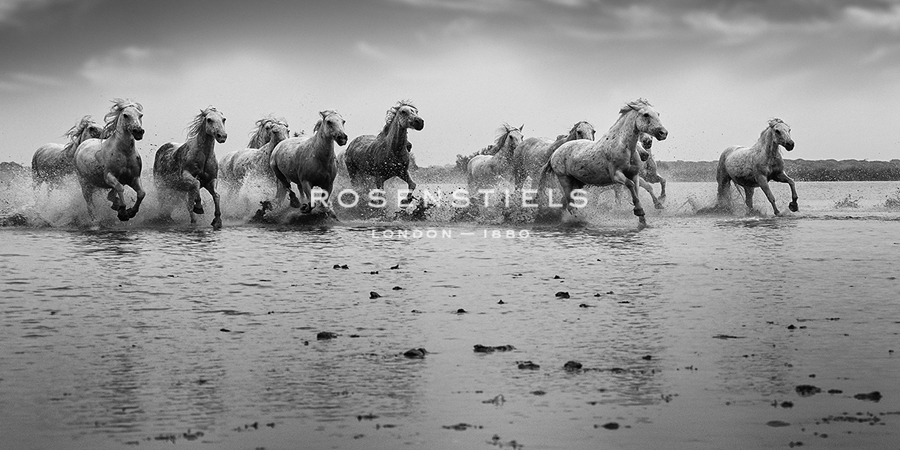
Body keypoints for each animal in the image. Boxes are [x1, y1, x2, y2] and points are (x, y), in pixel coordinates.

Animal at [536, 97, 668, 227]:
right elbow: (630, 185)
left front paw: (643, 219)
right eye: (646, 115)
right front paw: (639, 211)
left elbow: (638, 189)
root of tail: (555, 153)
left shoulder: (635, 175)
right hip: (565, 179)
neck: (623, 147)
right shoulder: (616, 175)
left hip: (578, 183)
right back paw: (578, 219)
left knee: (565, 202)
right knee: (569, 204)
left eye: (658, 114)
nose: (663, 133)